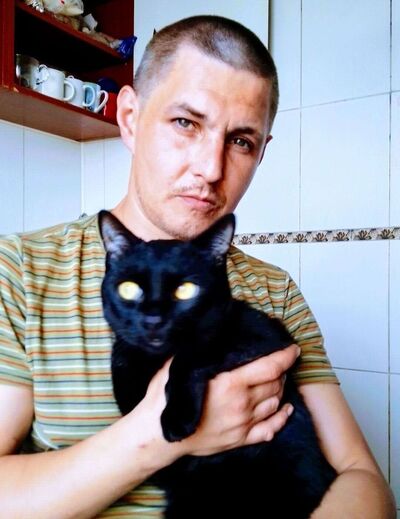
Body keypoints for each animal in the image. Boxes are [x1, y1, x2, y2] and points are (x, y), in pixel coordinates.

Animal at [99, 210, 336, 519]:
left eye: (186, 290)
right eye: (129, 289)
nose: (153, 319)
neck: (155, 359)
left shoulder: (266, 338)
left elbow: (191, 355)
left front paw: (177, 418)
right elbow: (125, 372)